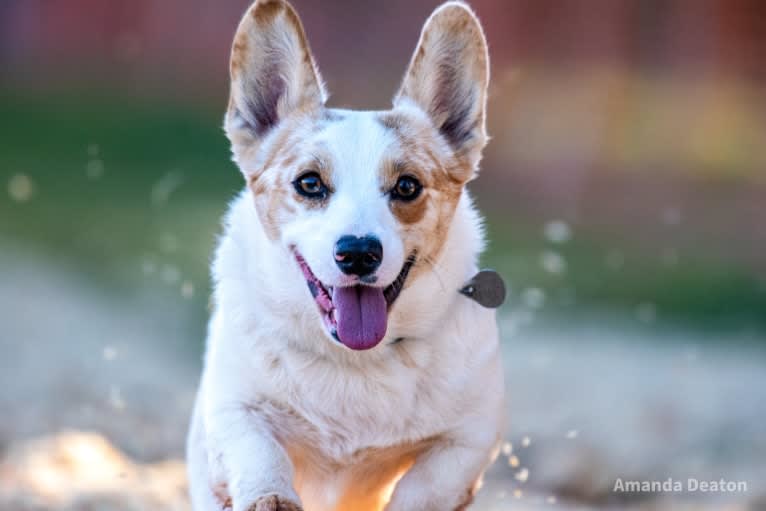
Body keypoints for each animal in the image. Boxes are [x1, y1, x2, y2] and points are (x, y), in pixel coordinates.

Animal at [187, 1, 508, 511]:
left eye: (407, 186)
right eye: (309, 183)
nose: (358, 254)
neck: (355, 360)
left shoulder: (467, 441)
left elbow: (424, 488)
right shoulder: (236, 410)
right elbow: (260, 457)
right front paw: (271, 495)